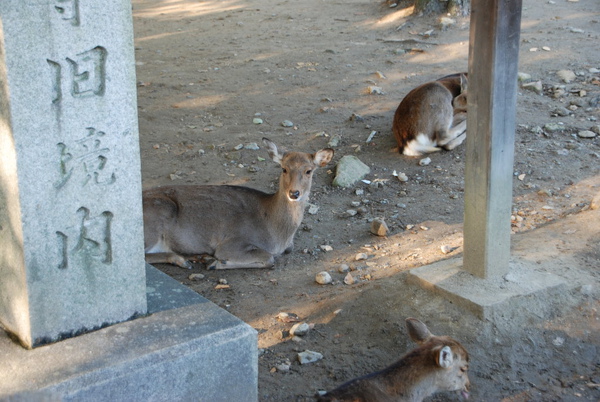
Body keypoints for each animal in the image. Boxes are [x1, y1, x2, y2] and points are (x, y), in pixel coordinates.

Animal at [144, 138, 336, 270]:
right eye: (284, 169)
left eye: (309, 171)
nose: (294, 193)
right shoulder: (231, 243)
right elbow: (269, 258)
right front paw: (214, 262)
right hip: (160, 212)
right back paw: (185, 260)